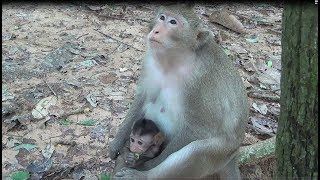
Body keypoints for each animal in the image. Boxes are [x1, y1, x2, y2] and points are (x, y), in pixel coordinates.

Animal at [109, 2, 249, 179]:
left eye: (173, 22)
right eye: (162, 17)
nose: (156, 30)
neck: (174, 59)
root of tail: (235, 153)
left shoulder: (200, 82)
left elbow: (199, 129)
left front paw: (147, 163)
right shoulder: (150, 61)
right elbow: (143, 97)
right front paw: (117, 144)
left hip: (221, 153)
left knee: (197, 151)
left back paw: (144, 174)